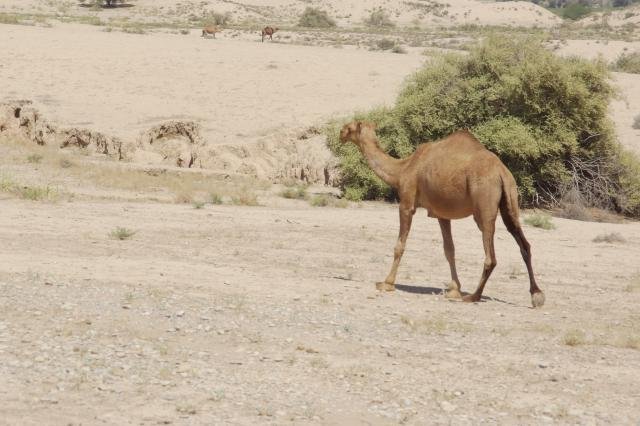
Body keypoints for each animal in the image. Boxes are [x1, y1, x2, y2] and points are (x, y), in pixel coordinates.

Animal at [340, 121, 544, 308]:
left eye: (349, 127)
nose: (340, 133)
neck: (402, 169)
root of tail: (501, 171)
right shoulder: (442, 214)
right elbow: (449, 249)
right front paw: (454, 289)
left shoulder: (406, 203)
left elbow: (400, 245)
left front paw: (386, 283)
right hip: (510, 200)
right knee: (523, 243)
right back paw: (536, 295)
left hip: (483, 204)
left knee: (490, 255)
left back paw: (473, 296)